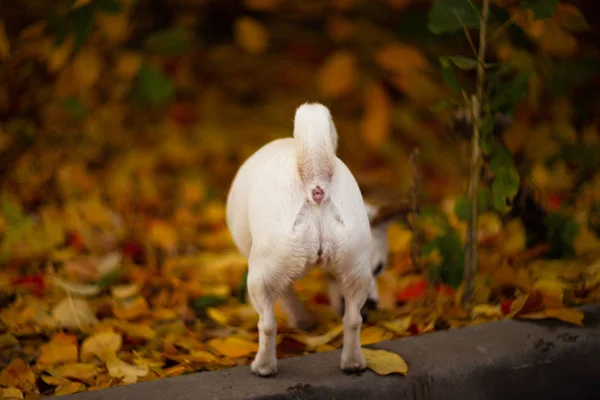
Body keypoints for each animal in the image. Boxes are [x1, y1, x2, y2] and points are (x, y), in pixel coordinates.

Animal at [225, 101, 408, 376]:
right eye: (377, 268)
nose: (374, 303)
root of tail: (316, 183)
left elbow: (288, 298)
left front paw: (302, 321)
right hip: (354, 271)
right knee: (352, 320)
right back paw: (353, 362)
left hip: (260, 278)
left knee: (267, 323)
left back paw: (263, 366)